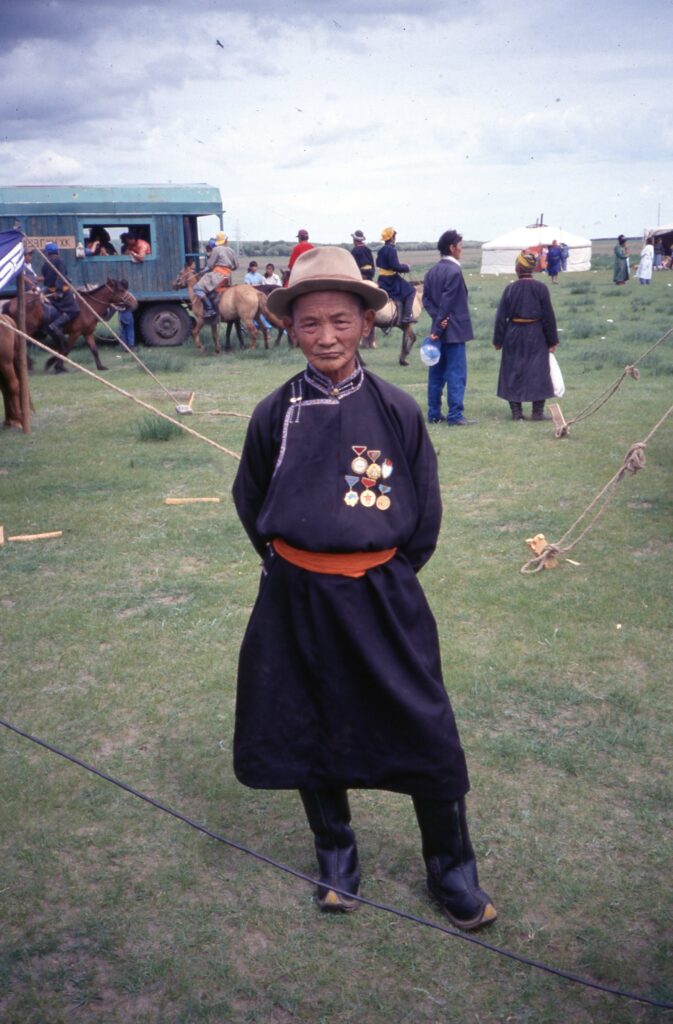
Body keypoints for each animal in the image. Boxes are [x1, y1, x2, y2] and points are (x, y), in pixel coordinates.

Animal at [3, 278, 138, 374]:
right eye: (121, 290)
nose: (135, 302)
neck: (87, 307)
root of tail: (10, 302)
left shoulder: (87, 333)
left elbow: (94, 350)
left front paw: (100, 366)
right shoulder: (75, 333)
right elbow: (66, 349)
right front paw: (57, 366)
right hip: (27, 330)